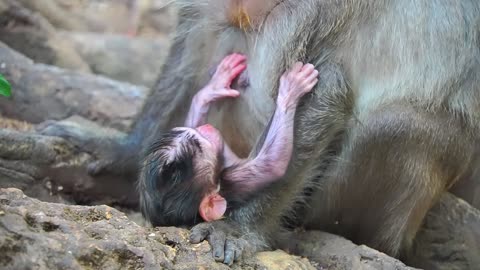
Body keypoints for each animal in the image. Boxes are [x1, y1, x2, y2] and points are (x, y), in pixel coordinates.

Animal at [139, 53, 318, 227]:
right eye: (199, 146)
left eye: (187, 133)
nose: (202, 131)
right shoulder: (229, 182)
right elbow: (272, 165)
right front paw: (291, 89)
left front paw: (213, 87)